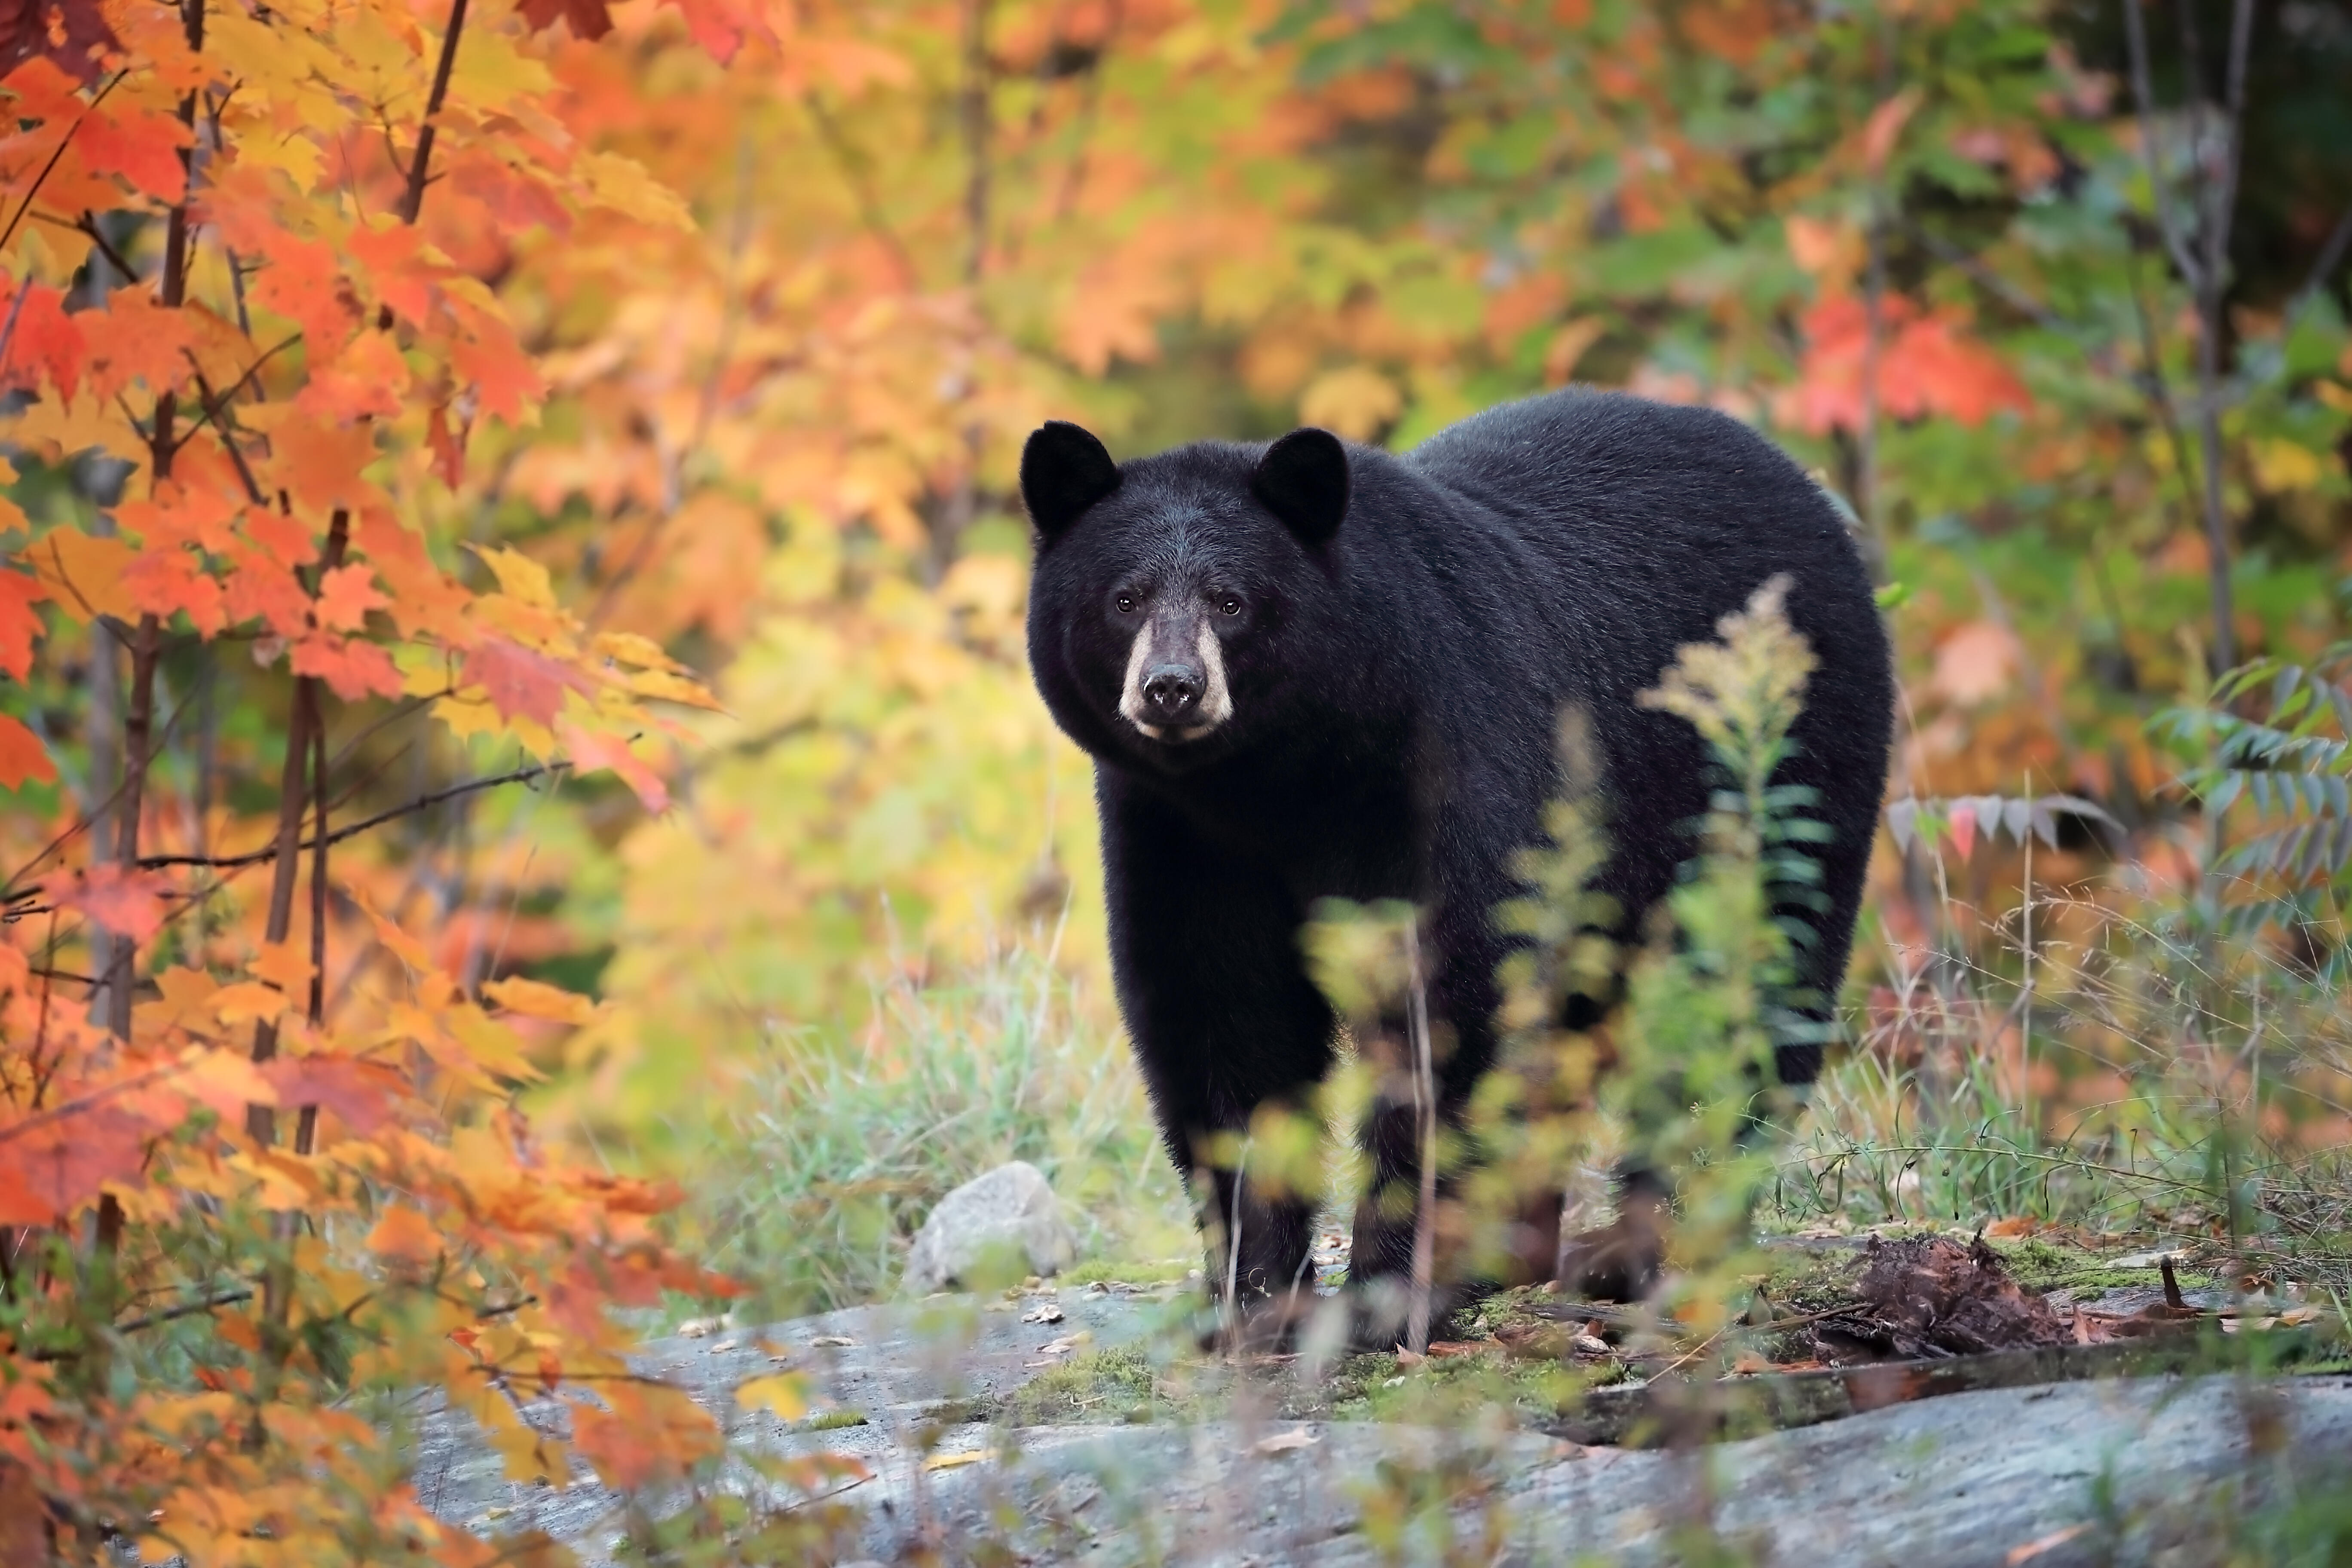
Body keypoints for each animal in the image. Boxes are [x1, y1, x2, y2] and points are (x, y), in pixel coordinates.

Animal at [1016, 390, 1891, 1335]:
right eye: (1125, 596)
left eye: (1230, 600)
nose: (1173, 687)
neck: (1282, 774)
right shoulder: (1182, 832)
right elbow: (1221, 1012)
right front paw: (1254, 1293)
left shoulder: (1451, 759)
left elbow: (1455, 997)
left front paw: (1395, 1288)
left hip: (1775, 770)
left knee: (1746, 984)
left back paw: (1654, 1242)